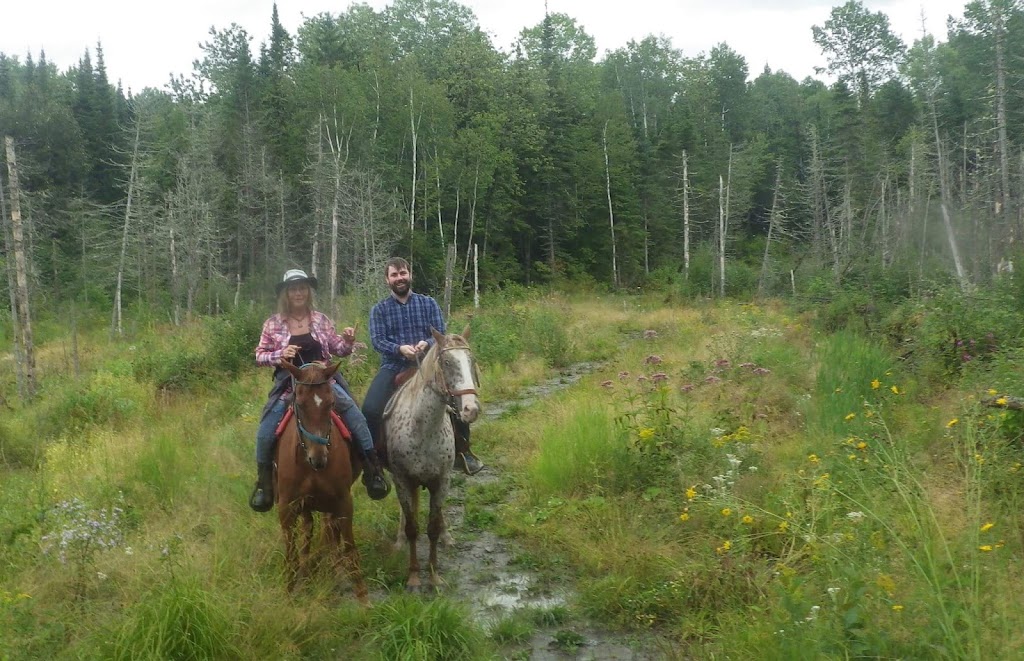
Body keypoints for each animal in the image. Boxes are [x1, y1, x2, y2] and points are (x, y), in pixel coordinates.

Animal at [274, 360, 370, 609]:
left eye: (332, 403)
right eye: (299, 403)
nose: (319, 459)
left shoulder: (344, 502)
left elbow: (350, 549)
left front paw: (363, 598)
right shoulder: (287, 507)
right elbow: (290, 553)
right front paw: (288, 593)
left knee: (328, 528)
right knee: (308, 530)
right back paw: (306, 573)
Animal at [385, 325, 479, 589]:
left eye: (471, 360)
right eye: (447, 362)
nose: (471, 409)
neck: (422, 428)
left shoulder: (442, 480)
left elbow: (433, 527)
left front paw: (435, 575)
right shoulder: (402, 479)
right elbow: (412, 527)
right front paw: (414, 576)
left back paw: (448, 538)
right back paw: (398, 542)